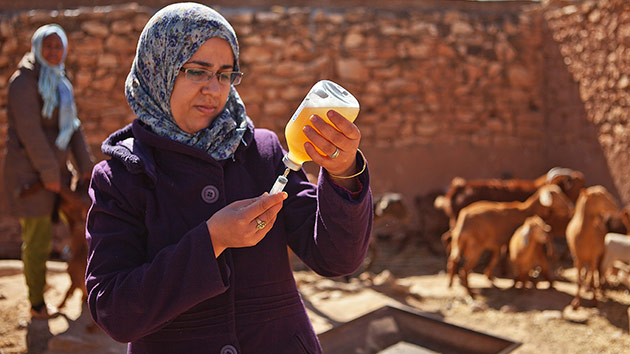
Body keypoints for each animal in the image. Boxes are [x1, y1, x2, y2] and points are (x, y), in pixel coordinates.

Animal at [446, 183, 576, 296]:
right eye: (557, 195)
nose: (571, 206)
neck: (526, 211)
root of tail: (464, 220)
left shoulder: (500, 243)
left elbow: (496, 258)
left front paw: (490, 276)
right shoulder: (508, 242)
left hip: (458, 243)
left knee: (452, 261)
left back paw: (451, 284)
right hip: (475, 247)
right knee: (464, 269)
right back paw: (470, 293)